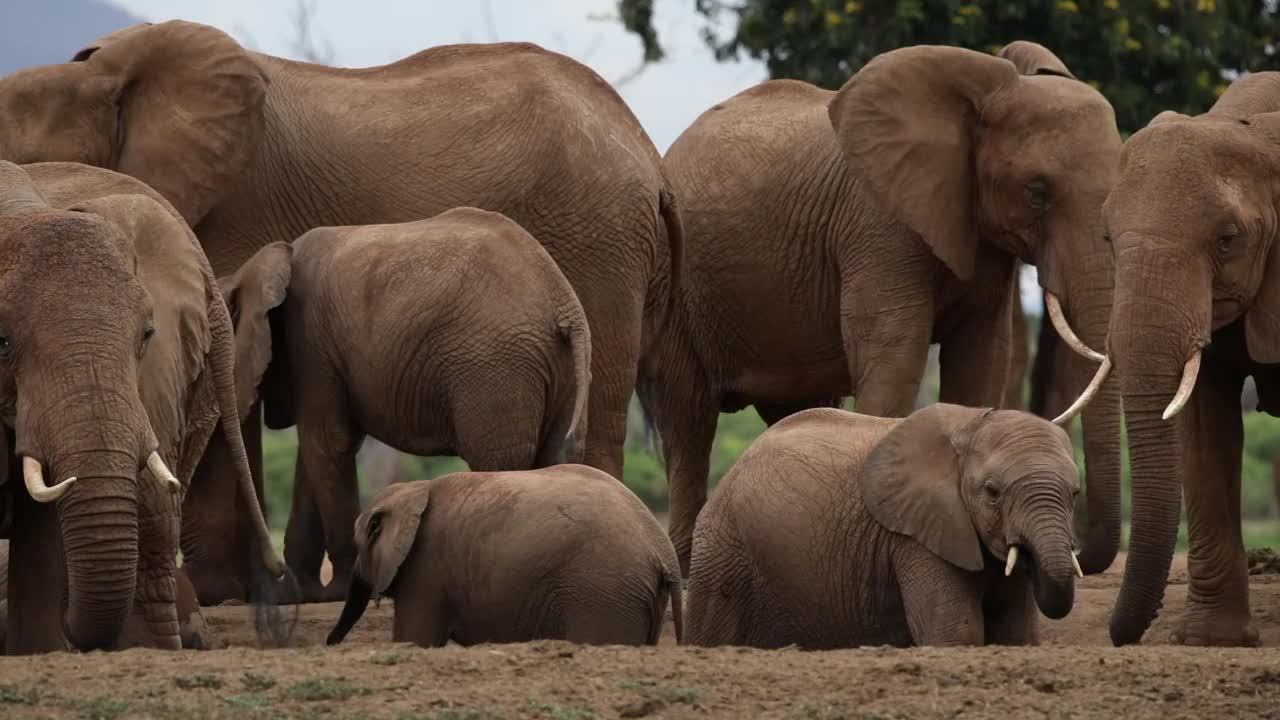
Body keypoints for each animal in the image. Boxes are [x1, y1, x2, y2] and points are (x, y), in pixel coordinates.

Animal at [222, 207, 591, 599]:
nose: (276, 571)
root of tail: (562, 302)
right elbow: (314, 452)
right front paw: (300, 596)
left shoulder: (309, 340)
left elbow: (327, 441)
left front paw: (337, 590)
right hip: (561, 368)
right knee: (560, 455)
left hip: (496, 367)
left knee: (501, 463)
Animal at [325, 461, 686, 648]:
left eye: (360, 545)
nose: (330, 642)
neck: (415, 488)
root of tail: (662, 549)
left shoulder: (425, 570)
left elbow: (416, 640)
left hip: (603, 591)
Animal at [691, 404, 1080, 645]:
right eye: (992, 491)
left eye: (1075, 493)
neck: (972, 422)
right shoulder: (916, 534)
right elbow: (956, 632)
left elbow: (1016, 633)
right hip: (723, 550)